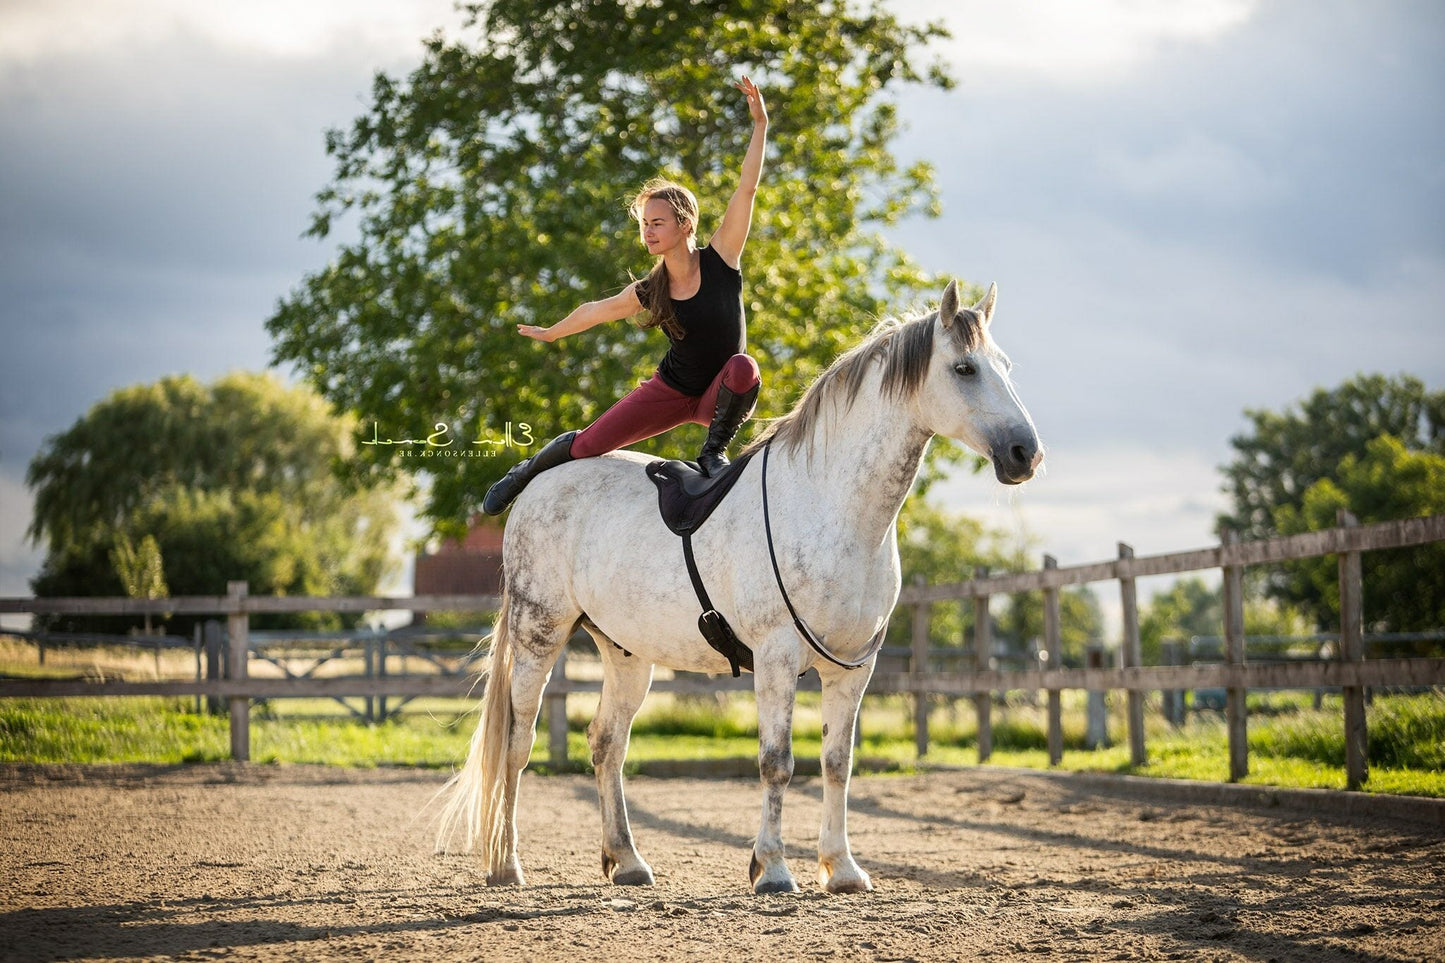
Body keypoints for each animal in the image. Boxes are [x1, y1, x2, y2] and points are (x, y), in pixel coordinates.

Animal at [436, 279, 1040, 890]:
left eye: (1007, 366)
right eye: (964, 368)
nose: (1025, 453)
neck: (829, 504)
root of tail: (536, 490)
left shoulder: (853, 669)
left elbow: (837, 763)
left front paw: (842, 867)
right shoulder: (776, 658)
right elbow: (777, 762)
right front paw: (771, 868)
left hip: (626, 653)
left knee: (607, 744)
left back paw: (626, 859)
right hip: (539, 634)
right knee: (517, 744)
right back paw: (506, 863)